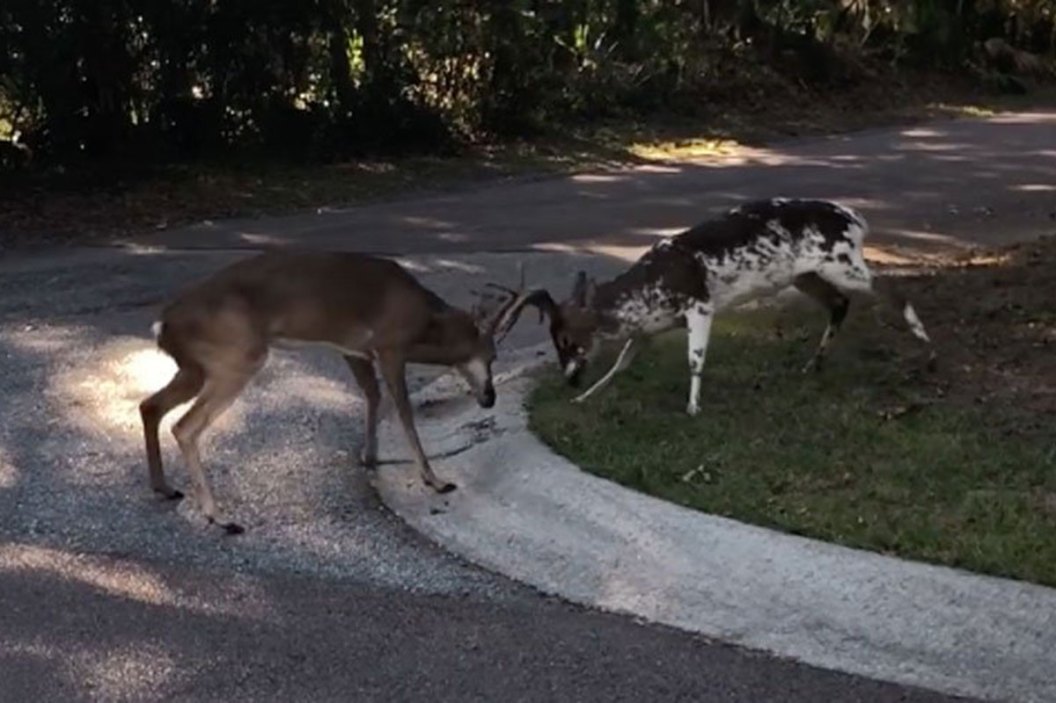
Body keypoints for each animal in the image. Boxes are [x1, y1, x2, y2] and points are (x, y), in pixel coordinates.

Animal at [139, 250, 535, 534]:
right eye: (492, 355)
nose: (490, 398)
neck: (423, 322)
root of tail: (163, 325)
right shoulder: (391, 346)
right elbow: (404, 411)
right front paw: (435, 480)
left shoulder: (354, 349)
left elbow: (372, 395)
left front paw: (370, 456)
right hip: (235, 357)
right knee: (185, 426)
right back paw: (219, 517)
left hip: (195, 367)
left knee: (149, 405)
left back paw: (165, 488)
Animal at [499, 198, 934, 415]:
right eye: (554, 340)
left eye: (567, 339)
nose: (569, 379)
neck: (642, 298)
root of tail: (857, 219)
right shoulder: (648, 330)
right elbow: (621, 364)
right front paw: (585, 398)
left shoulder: (699, 304)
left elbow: (695, 359)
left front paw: (693, 407)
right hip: (805, 274)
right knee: (840, 303)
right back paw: (813, 364)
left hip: (840, 260)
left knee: (888, 286)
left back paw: (923, 338)